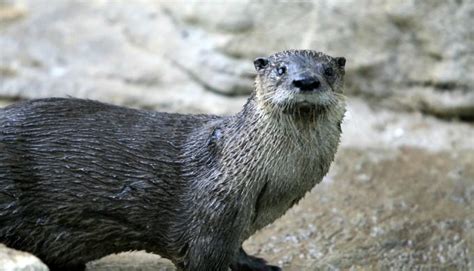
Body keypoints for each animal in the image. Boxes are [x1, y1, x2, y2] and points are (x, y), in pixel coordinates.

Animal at [0, 50, 348, 270]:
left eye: (328, 70)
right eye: (281, 69)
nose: (306, 81)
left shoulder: (233, 226)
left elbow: (236, 252)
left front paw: (257, 264)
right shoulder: (211, 213)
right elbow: (204, 258)